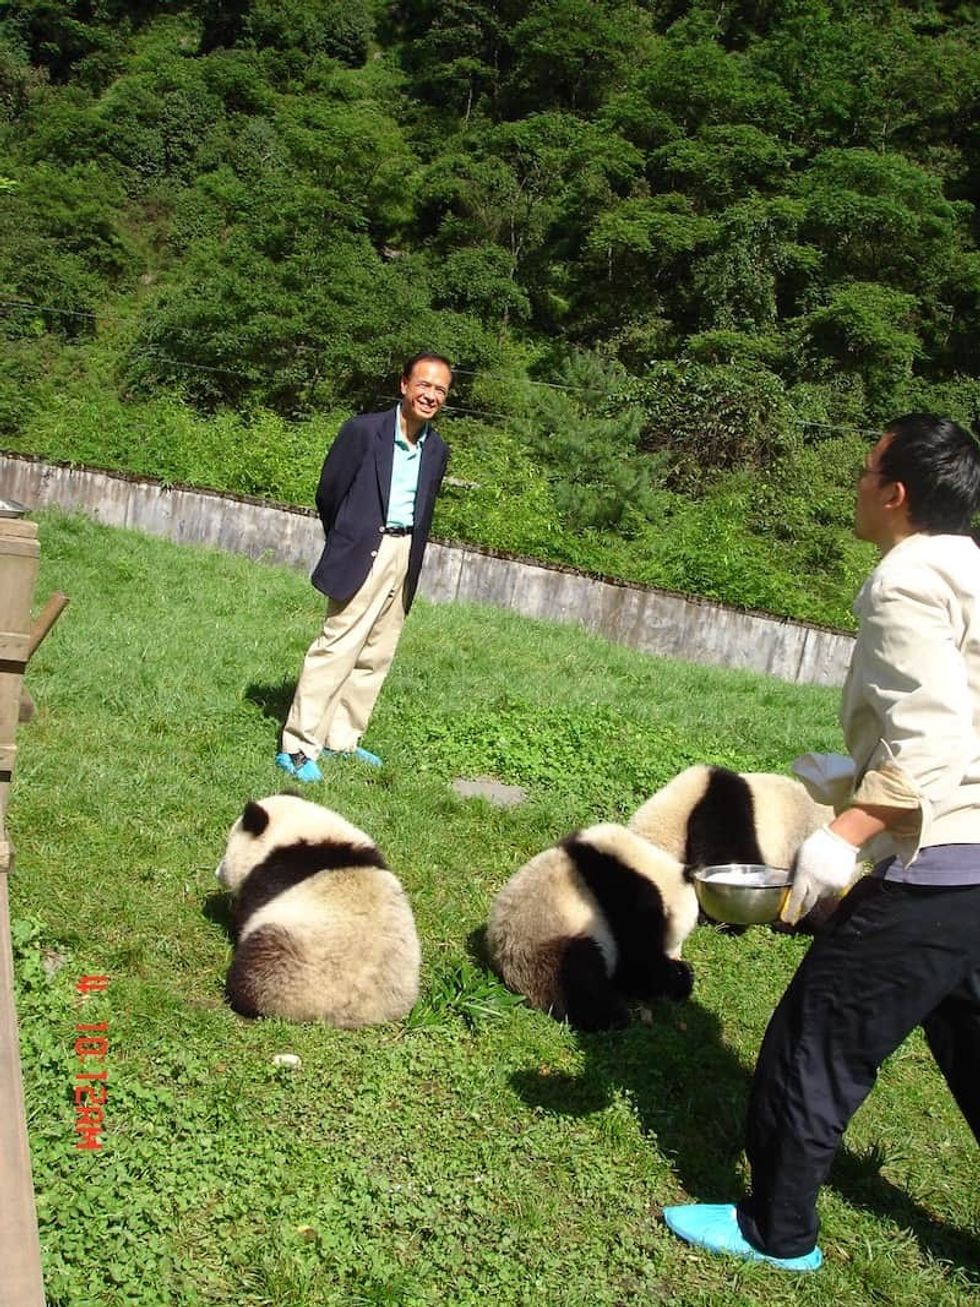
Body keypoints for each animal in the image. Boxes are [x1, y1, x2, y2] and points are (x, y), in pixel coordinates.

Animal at [215, 793, 420, 1027]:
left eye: (227, 847)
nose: (217, 872)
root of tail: (352, 1015)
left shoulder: (270, 877)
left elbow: (245, 912)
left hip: (287, 963)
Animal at [486, 823, 699, 1032]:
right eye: (678, 940)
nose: (677, 955)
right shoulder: (627, 899)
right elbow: (638, 963)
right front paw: (680, 976)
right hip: (546, 947)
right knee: (579, 976)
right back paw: (613, 1016)